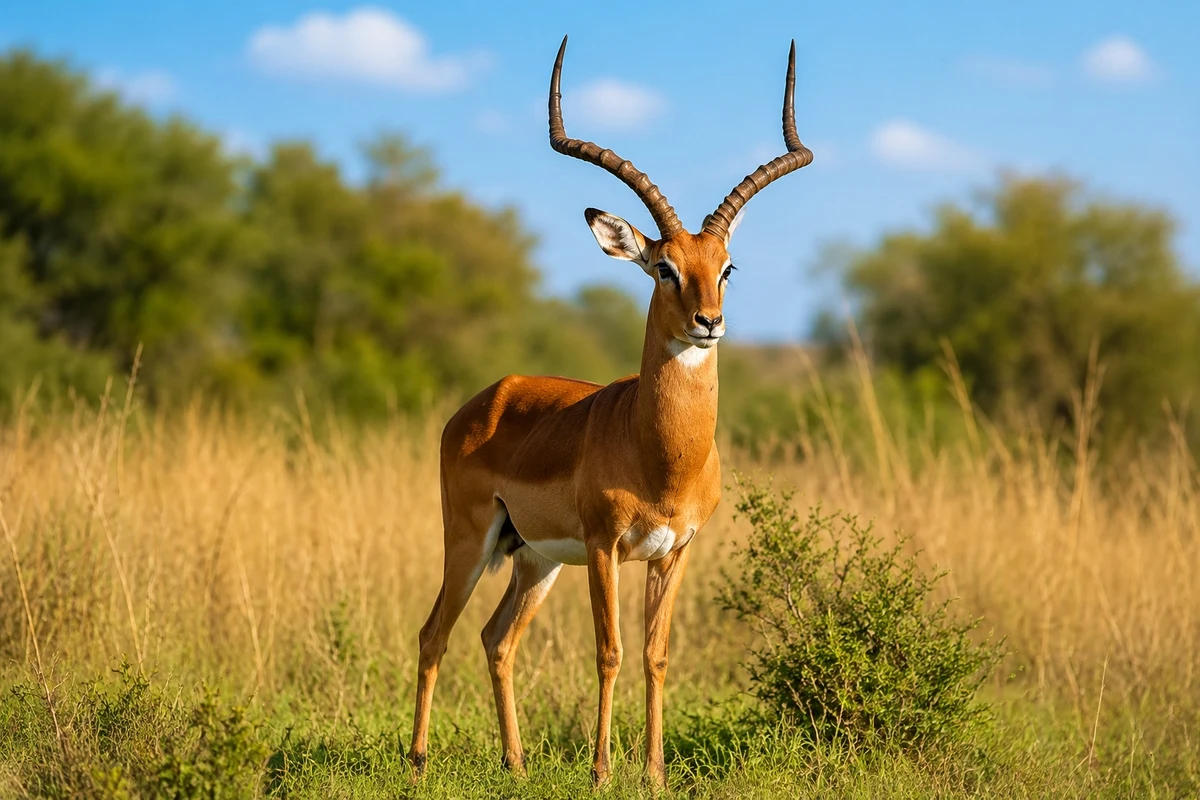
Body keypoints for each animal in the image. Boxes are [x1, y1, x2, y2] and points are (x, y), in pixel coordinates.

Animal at [408, 35, 812, 787]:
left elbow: (655, 656)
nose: (709, 323)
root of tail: (484, 399)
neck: (661, 457)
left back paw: (516, 765)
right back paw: (418, 761)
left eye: (727, 266)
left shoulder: (673, 552)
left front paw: (653, 774)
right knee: (433, 633)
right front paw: (600, 773)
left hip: (534, 560)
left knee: (495, 639)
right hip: (471, 540)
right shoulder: (604, 547)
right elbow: (610, 652)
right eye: (663, 267)